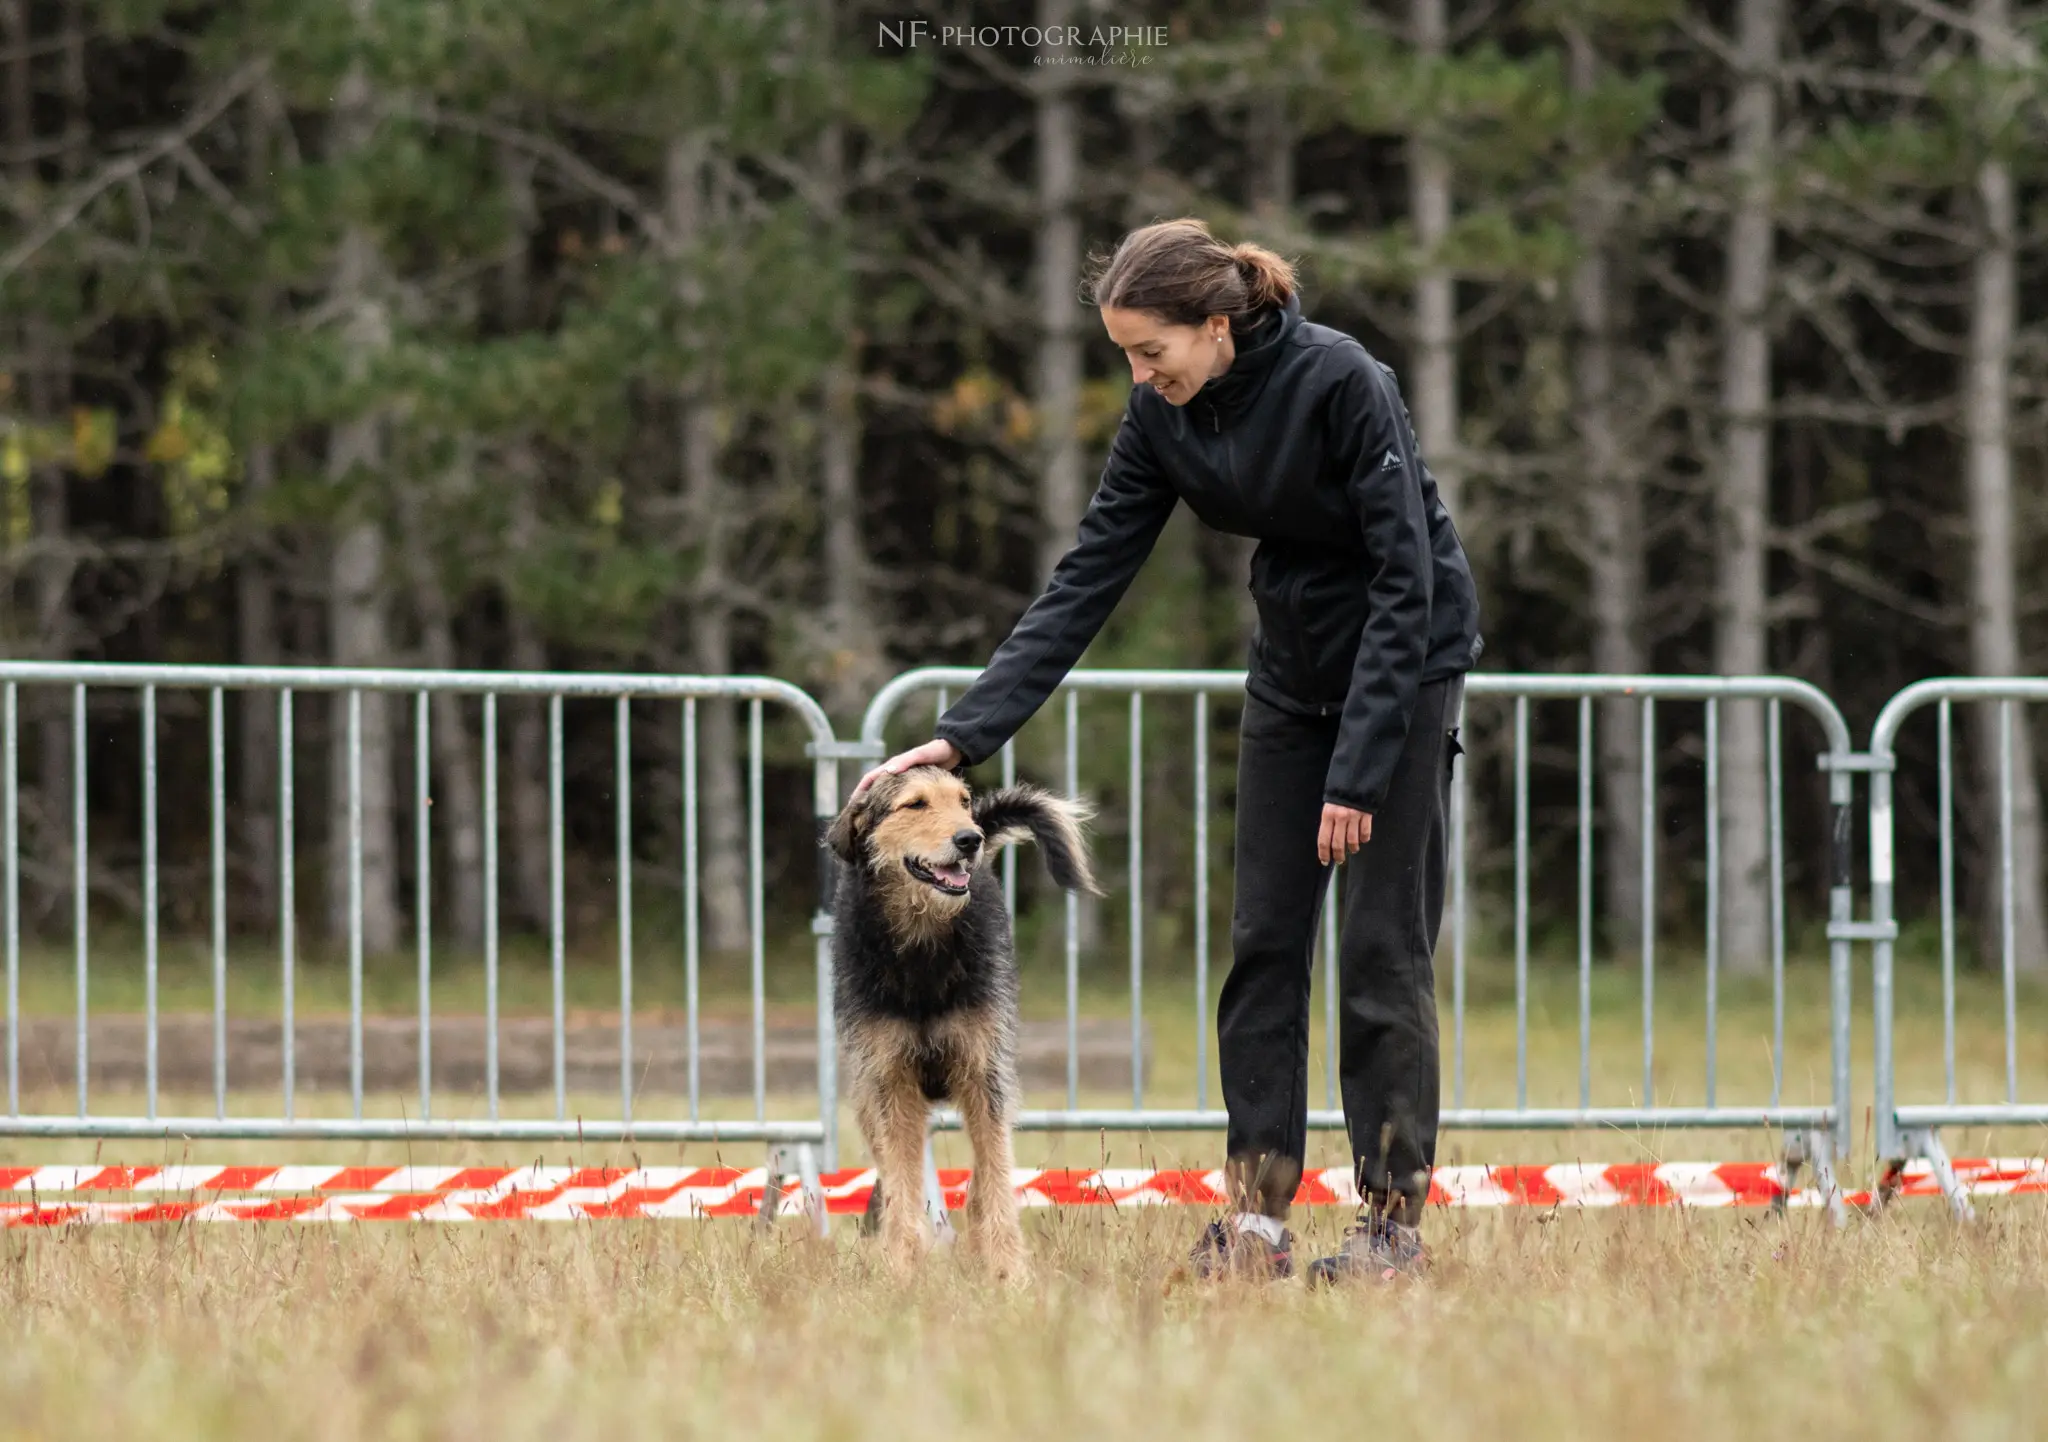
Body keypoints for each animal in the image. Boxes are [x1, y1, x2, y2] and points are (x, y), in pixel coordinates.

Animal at [827, 770, 1105, 1278]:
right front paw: (902, 1268)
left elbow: (994, 1173)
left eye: (963, 800)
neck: (923, 947)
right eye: (914, 804)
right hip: (866, 1093)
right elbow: (902, 1180)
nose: (969, 838)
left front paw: (1008, 1271)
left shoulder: (983, 1072)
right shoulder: (891, 1081)